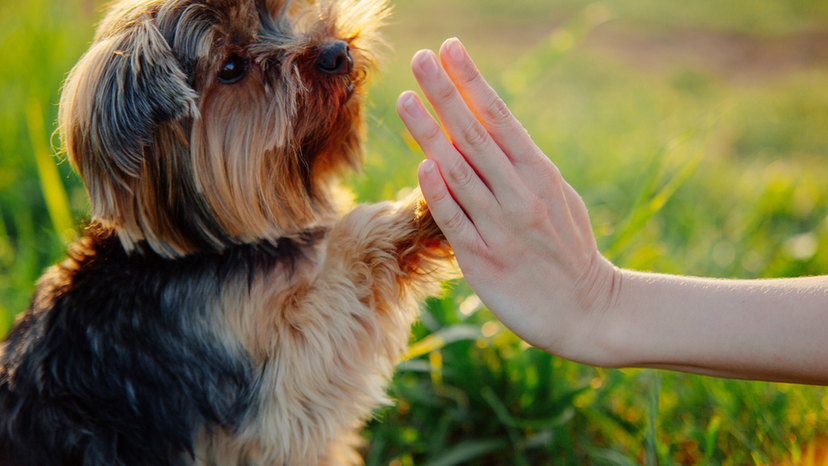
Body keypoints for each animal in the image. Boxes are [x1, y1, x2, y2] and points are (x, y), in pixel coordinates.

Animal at [1, 1, 452, 464]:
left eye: (283, 11)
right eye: (231, 67)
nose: (337, 52)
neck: (212, 246)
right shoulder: (268, 394)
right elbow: (334, 296)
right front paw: (422, 208)